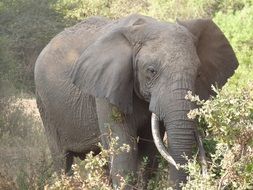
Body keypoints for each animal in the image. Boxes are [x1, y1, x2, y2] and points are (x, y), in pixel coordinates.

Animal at [34, 14, 238, 189]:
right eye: (151, 71)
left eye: (198, 73)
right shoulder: (107, 86)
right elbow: (123, 151)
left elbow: (149, 149)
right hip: (45, 107)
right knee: (62, 160)